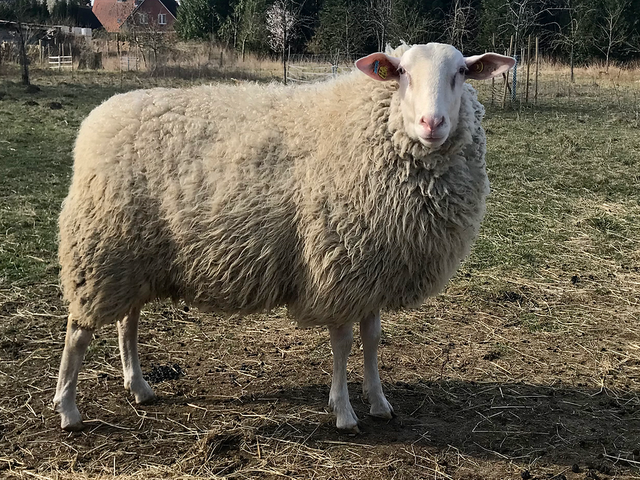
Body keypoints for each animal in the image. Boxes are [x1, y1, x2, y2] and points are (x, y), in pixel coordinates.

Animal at [53, 42, 515, 433]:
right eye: (401, 73)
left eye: (461, 72)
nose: (431, 123)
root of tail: (97, 119)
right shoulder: (339, 264)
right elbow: (344, 343)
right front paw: (344, 412)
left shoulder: (373, 269)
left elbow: (372, 340)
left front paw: (379, 402)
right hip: (100, 247)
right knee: (79, 331)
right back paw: (68, 409)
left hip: (133, 257)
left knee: (127, 322)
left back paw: (139, 387)